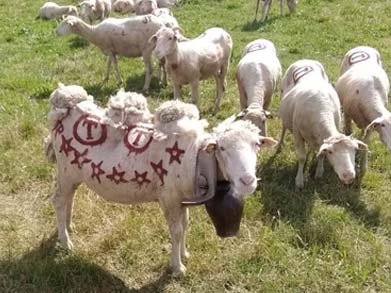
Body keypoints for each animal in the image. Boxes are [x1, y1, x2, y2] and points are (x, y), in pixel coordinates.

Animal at [46, 81, 278, 274]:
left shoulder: (181, 199)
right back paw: (65, 241)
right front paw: (177, 267)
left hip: (74, 174)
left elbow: (185, 225)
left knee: (68, 198)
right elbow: (176, 231)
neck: (196, 158)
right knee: (58, 201)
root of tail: (66, 108)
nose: (248, 181)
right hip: (66, 171)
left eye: (257, 144)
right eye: (222, 148)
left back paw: (67, 227)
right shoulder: (169, 197)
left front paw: (184, 254)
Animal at [280, 58, 370, 189]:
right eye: (331, 152)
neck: (322, 109)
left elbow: (321, 154)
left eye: (355, 149)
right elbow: (301, 157)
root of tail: (305, 60)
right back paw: (279, 145)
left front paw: (319, 172)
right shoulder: (297, 134)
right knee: (283, 128)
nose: (348, 176)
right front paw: (299, 181)